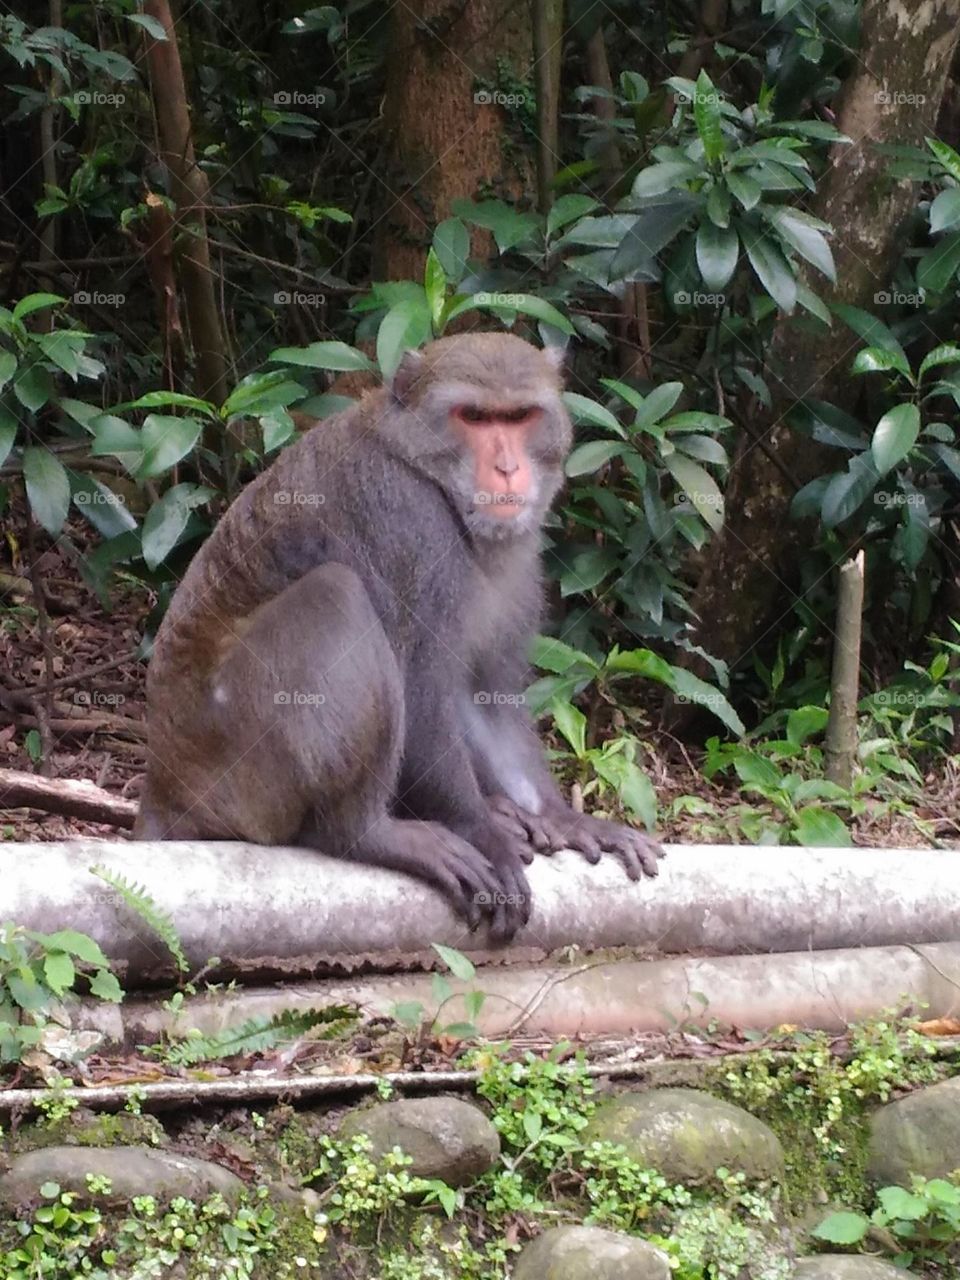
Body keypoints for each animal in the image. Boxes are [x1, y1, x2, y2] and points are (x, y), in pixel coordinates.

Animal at [135, 333, 663, 940]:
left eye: (520, 417)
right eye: (474, 417)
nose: (507, 468)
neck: (430, 472)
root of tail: (164, 786)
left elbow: (482, 693)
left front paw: (565, 819)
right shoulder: (407, 518)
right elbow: (422, 686)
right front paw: (481, 831)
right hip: (238, 763)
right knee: (337, 596)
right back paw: (365, 834)